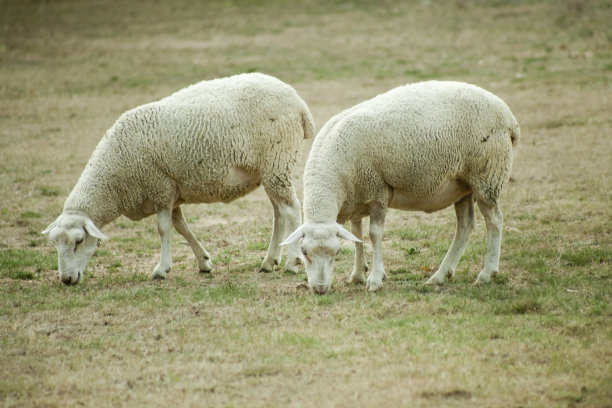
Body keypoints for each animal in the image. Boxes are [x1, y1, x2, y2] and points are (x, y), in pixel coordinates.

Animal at [41, 72, 316, 284]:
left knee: (292, 211)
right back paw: (269, 262)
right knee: (279, 214)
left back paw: (291, 262)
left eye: (78, 241)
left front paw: (161, 269)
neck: (114, 178)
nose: (66, 280)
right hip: (270, 171)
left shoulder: (159, 187)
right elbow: (181, 227)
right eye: (55, 244)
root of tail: (300, 104)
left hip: (277, 163)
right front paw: (203, 262)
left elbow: (164, 229)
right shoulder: (171, 191)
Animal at [284, 79, 520, 294]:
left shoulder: (377, 191)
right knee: (465, 225)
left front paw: (375, 280)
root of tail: (509, 117)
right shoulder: (356, 195)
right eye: (304, 252)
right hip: (462, 184)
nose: (320, 289)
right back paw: (440, 275)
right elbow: (357, 234)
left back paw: (486, 274)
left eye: (336, 254)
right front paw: (357, 274)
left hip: (487, 176)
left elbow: (374, 234)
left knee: (494, 221)